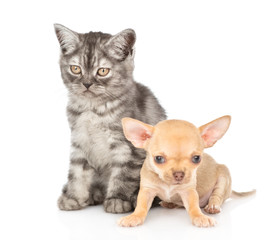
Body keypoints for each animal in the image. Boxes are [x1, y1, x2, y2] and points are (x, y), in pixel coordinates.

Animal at [54, 23, 166, 213]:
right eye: (76, 69)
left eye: (102, 71)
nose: (87, 83)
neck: (93, 109)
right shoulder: (79, 142)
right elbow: (77, 172)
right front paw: (73, 197)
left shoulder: (128, 147)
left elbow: (124, 174)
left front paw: (117, 199)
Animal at [119, 116, 255, 227]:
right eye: (158, 158)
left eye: (196, 158)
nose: (179, 174)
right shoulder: (147, 190)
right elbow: (141, 206)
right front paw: (134, 217)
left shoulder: (189, 192)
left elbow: (194, 207)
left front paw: (200, 217)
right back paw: (171, 204)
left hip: (224, 176)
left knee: (217, 196)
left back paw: (212, 206)